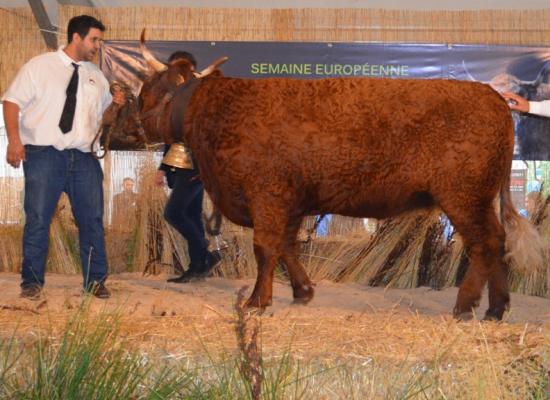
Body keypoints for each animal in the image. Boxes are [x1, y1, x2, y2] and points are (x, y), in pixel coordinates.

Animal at [114, 36, 544, 320]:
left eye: (145, 91)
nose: (127, 125)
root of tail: (492, 98)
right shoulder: (289, 201)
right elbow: (288, 247)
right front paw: (302, 291)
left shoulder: (266, 196)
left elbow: (266, 248)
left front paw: (257, 301)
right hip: (477, 197)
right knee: (497, 242)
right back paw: (496, 308)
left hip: (464, 196)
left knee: (484, 244)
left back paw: (466, 305)